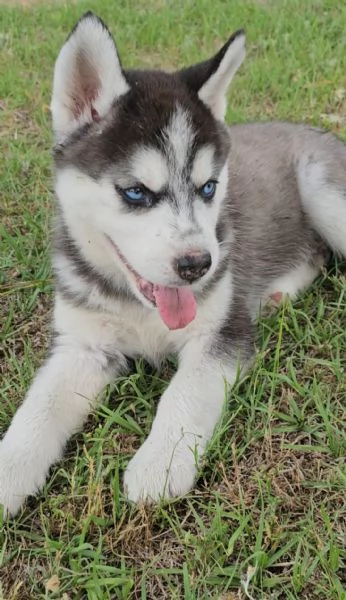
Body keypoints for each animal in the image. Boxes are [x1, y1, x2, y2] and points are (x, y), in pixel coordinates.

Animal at [1, 11, 344, 516]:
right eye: (135, 192)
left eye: (209, 188)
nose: (197, 265)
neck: (137, 305)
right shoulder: (83, 345)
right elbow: (39, 407)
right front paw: (9, 469)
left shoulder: (221, 334)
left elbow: (185, 392)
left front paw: (159, 464)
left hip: (324, 191)